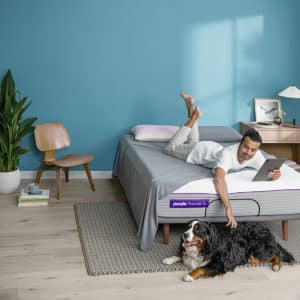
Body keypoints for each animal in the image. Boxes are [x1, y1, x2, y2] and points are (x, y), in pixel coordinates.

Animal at [163, 220, 294, 282]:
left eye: (197, 229)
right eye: (188, 227)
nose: (184, 235)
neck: (204, 247)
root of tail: (268, 231)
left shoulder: (219, 264)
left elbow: (201, 268)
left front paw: (189, 276)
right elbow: (181, 253)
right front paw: (169, 259)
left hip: (255, 255)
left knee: (277, 253)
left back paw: (276, 265)